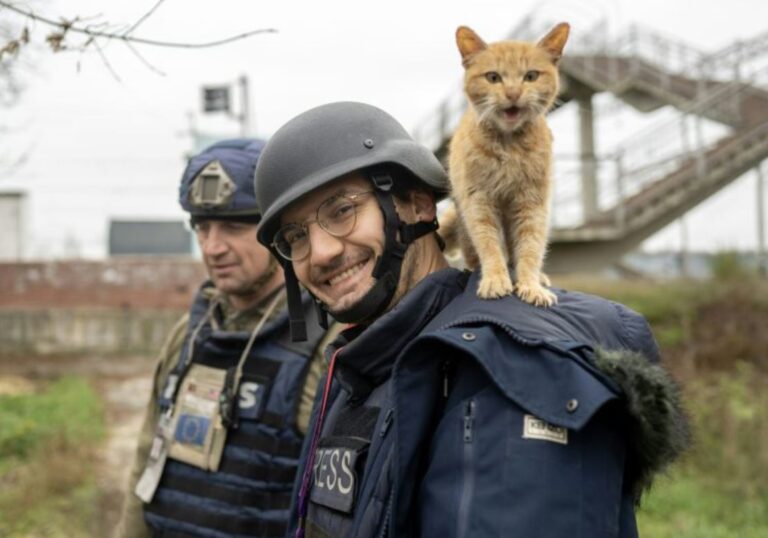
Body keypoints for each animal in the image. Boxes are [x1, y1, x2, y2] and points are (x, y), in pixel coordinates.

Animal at [448, 23, 568, 306]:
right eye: (493, 78)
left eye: (531, 76)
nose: (513, 93)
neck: (509, 146)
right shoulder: (479, 202)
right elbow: (489, 245)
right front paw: (494, 279)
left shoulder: (532, 203)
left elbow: (530, 248)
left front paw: (531, 285)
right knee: (474, 254)